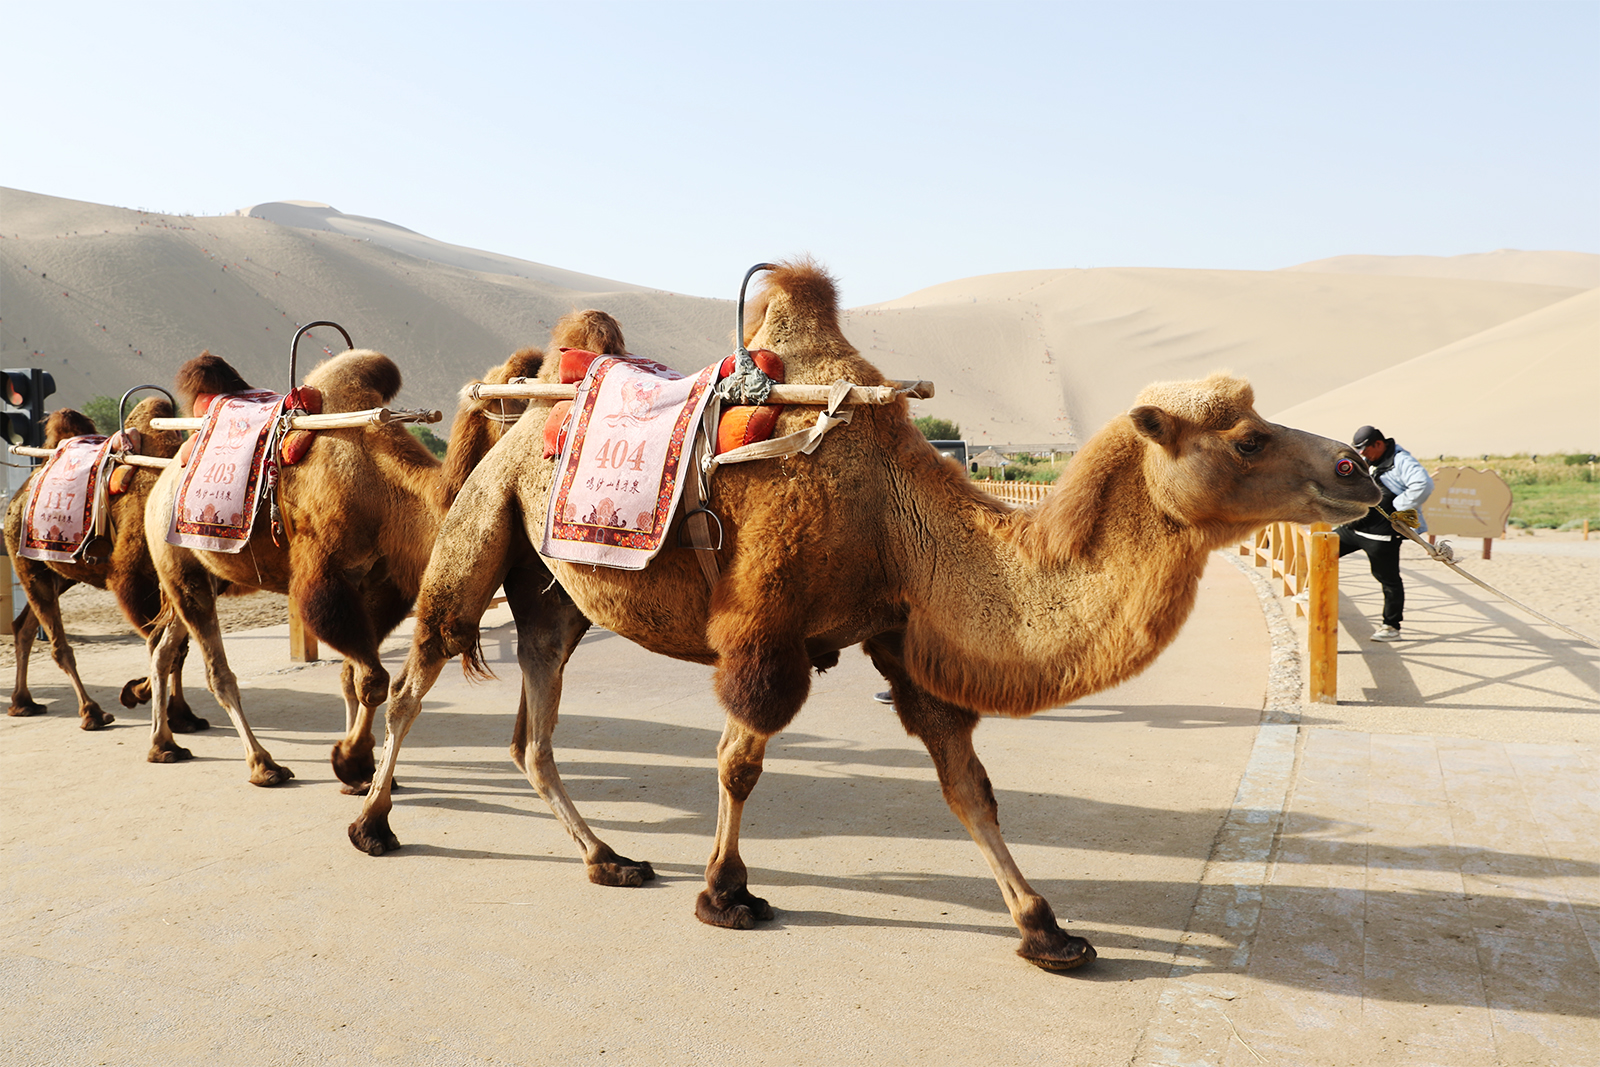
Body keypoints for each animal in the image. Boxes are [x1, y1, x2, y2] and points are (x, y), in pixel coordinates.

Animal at [4, 399, 208, 735]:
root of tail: (21, 493)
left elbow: (178, 646)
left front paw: (182, 715)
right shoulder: (132, 582)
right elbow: (163, 646)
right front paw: (137, 694)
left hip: (59, 573)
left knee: (24, 627)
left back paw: (23, 703)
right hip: (26, 563)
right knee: (59, 645)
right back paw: (92, 712)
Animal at [350, 260, 1376, 966]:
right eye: (1248, 438)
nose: (1357, 468)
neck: (895, 514)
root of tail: (524, 396)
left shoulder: (897, 634)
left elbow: (969, 785)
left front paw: (1047, 928)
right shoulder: (766, 631)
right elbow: (739, 761)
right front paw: (727, 893)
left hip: (556, 593)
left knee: (533, 724)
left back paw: (608, 857)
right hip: (483, 520)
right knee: (421, 668)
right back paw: (373, 822)